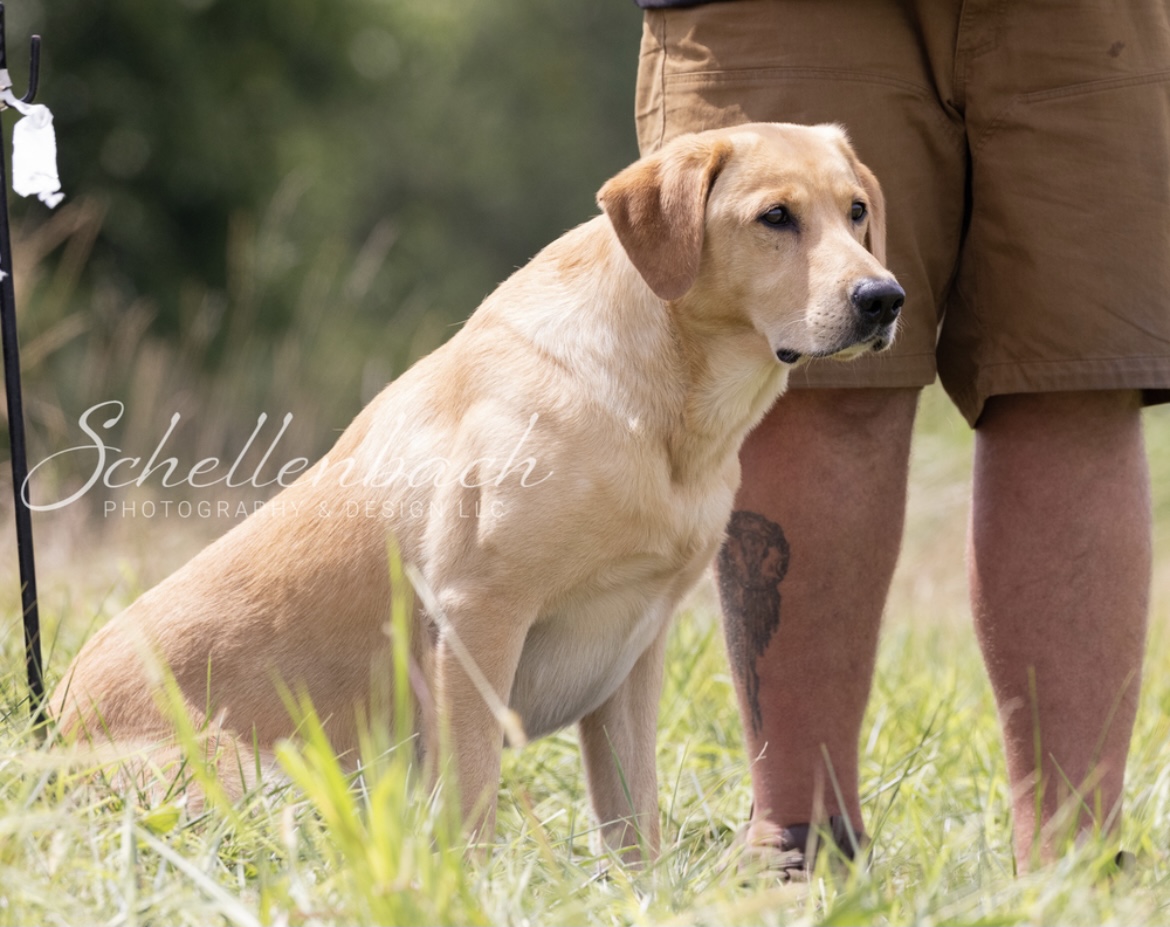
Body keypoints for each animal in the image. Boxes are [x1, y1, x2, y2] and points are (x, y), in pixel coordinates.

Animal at [50, 122, 898, 861]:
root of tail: (46, 720)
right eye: (774, 217)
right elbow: (472, 799)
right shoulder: (478, 615)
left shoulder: (634, 647)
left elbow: (634, 823)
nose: (883, 297)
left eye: (857, 210)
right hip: (263, 780)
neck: (666, 416)